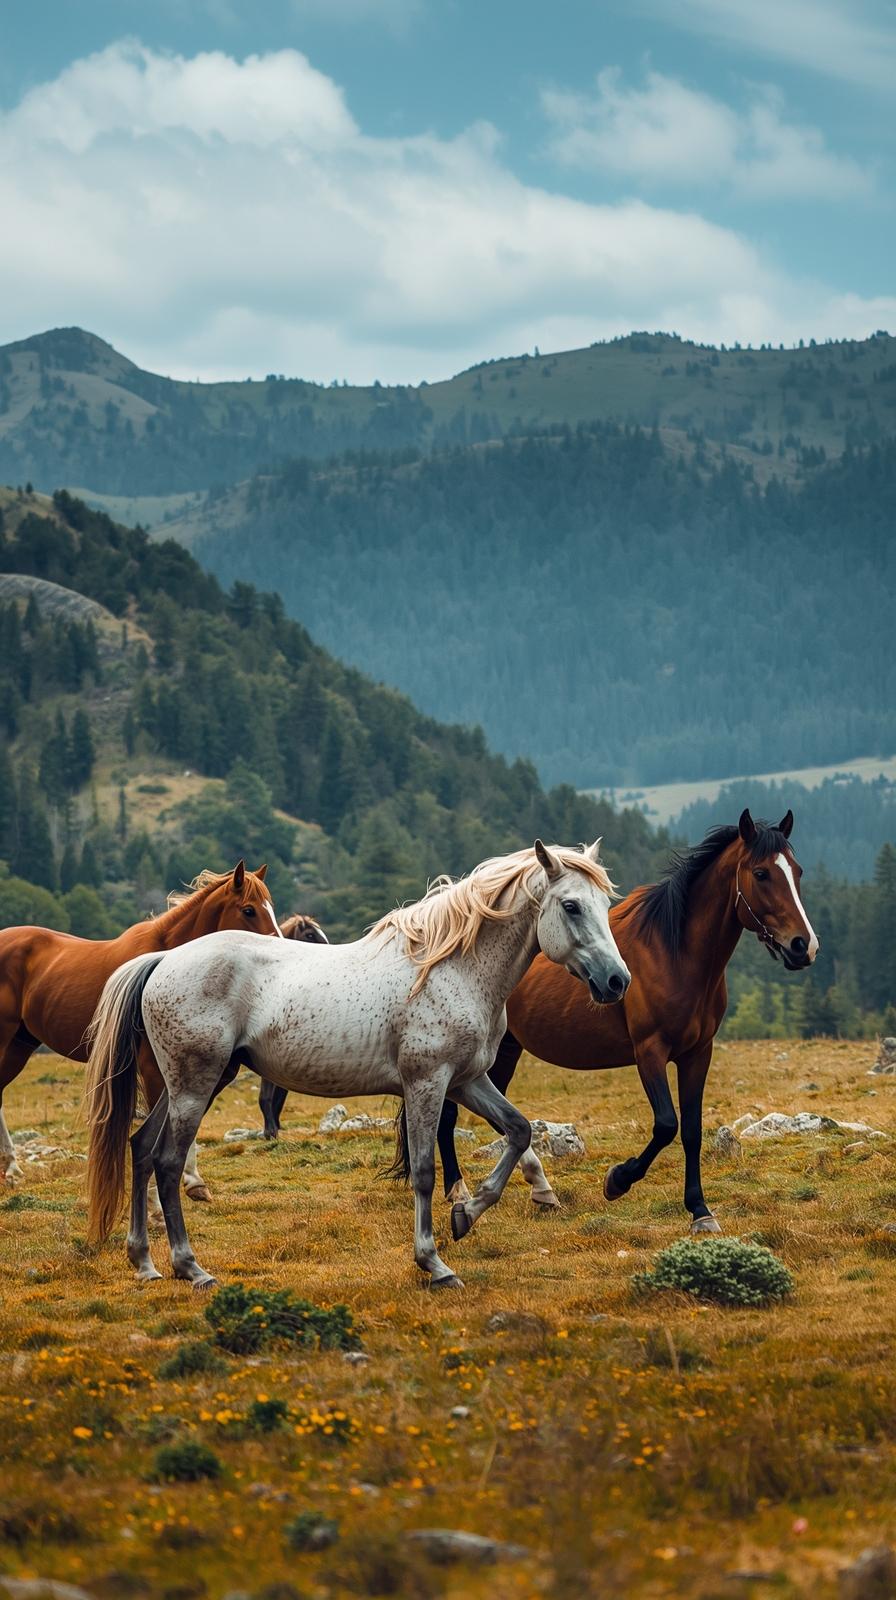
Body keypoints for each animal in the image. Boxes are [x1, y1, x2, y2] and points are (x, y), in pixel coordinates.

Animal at [415, 809, 818, 1235]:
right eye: (761, 873)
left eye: (797, 871)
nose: (803, 946)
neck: (674, 954)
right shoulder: (650, 1051)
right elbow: (666, 1124)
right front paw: (618, 1180)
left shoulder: (697, 1053)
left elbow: (692, 1130)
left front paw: (700, 1210)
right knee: (451, 1117)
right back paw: (460, 1191)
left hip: (507, 1049)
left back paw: (540, 1189)